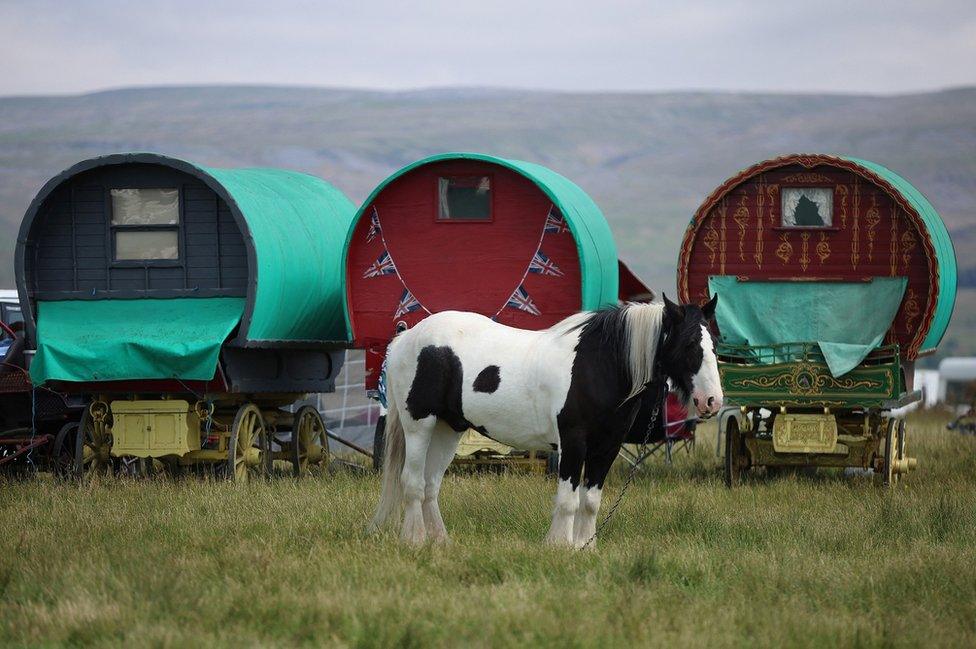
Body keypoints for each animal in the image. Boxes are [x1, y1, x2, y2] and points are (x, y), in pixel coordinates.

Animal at [370, 294, 720, 548]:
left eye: (714, 344)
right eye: (689, 344)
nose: (712, 401)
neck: (597, 365)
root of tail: (406, 337)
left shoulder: (606, 447)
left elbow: (590, 501)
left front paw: (585, 548)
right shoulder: (573, 442)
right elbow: (568, 499)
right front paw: (559, 546)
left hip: (448, 429)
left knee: (431, 485)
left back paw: (440, 542)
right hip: (420, 425)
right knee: (413, 483)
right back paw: (414, 540)